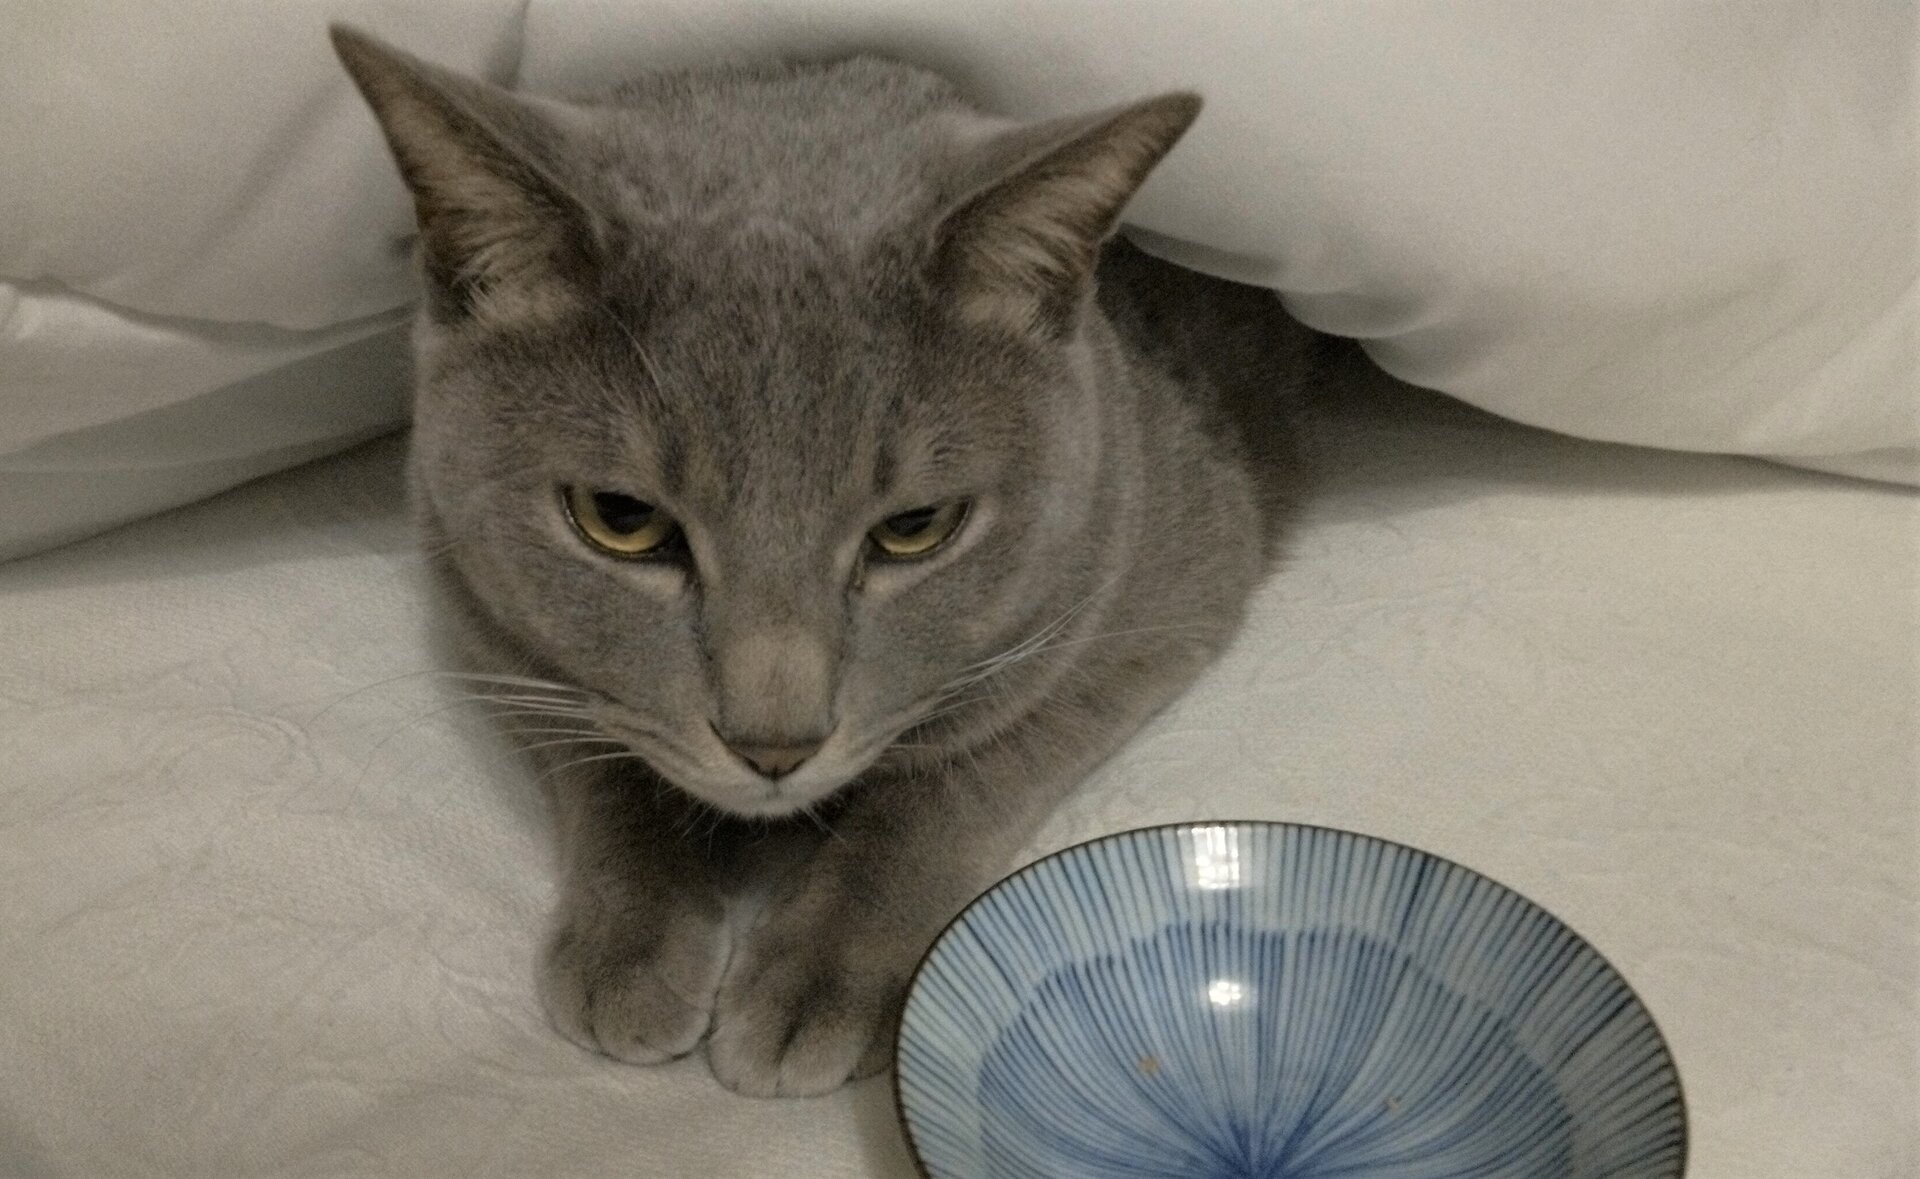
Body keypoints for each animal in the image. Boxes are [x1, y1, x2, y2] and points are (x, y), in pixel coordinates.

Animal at [332, 24, 1318, 1097]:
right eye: (620, 519)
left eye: (917, 526)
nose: (774, 744)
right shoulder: (478, 610)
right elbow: (600, 746)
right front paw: (627, 947)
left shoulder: (1162, 587)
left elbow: (953, 777)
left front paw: (813, 979)